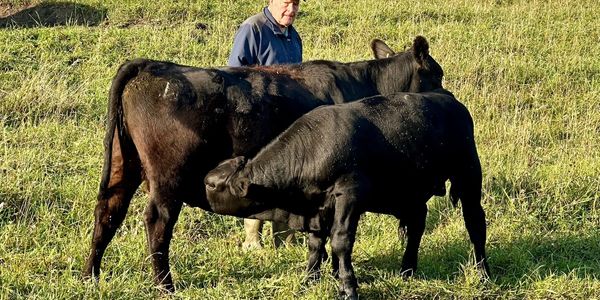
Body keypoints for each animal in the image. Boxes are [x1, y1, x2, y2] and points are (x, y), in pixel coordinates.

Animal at [82, 36, 442, 292]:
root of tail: (152, 65)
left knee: (108, 210)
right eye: (436, 75)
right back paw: (165, 285)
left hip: (123, 162)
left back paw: (91, 276)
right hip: (169, 177)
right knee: (157, 221)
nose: (445, 98)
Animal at [204, 91, 490, 300]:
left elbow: (340, 242)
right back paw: (407, 269)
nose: (200, 190)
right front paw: (309, 280)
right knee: (416, 226)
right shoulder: (318, 207)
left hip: (469, 173)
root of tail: (452, 101)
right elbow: (315, 245)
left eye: (211, 184)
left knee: (475, 223)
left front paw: (348, 287)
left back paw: (483, 273)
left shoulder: (349, 194)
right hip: (411, 193)